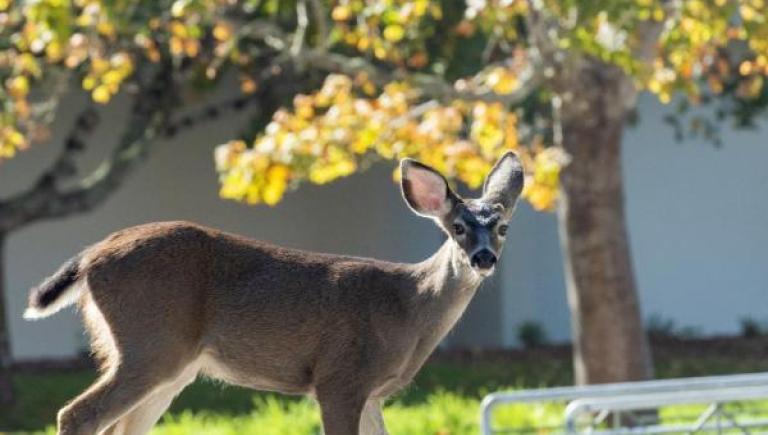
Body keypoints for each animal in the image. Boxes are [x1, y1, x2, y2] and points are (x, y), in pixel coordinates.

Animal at [25, 152, 528, 434]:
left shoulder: (372, 393)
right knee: (77, 415)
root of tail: (90, 257)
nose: (484, 258)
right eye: (458, 227)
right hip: (149, 344)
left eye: (503, 226)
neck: (408, 308)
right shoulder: (340, 377)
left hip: (170, 367)